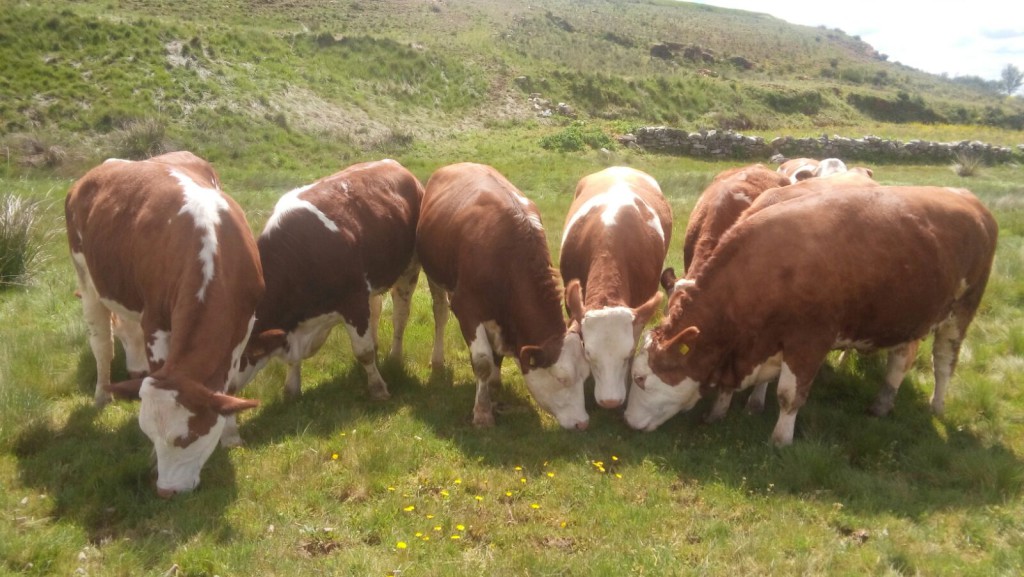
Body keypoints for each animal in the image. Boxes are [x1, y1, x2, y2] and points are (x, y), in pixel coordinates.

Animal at [66, 152, 266, 496]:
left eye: (187, 437)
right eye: (150, 435)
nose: (165, 490)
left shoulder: (244, 325)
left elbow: (228, 387)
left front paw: (231, 434)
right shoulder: (156, 322)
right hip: (88, 281)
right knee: (102, 344)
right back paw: (103, 393)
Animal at [233, 155, 423, 403]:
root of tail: (394, 164)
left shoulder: (354, 301)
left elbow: (363, 352)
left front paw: (378, 388)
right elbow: (294, 361)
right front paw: (291, 389)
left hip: (409, 268)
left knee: (400, 315)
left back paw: (395, 357)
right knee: (376, 309)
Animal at [415, 161, 589, 428]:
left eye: (586, 375)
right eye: (562, 379)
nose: (584, 423)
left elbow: (495, 355)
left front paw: (495, 384)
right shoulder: (467, 308)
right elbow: (482, 361)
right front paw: (482, 412)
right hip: (433, 273)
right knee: (439, 313)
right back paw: (437, 360)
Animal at [626, 182, 995, 444]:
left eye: (641, 379)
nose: (627, 421)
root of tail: (968, 199)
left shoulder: (809, 340)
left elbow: (790, 395)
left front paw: (780, 439)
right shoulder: (750, 344)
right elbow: (730, 388)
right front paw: (718, 414)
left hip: (962, 310)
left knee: (944, 361)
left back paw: (936, 407)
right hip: (908, 315)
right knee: (901, 360)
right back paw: (882, 404)